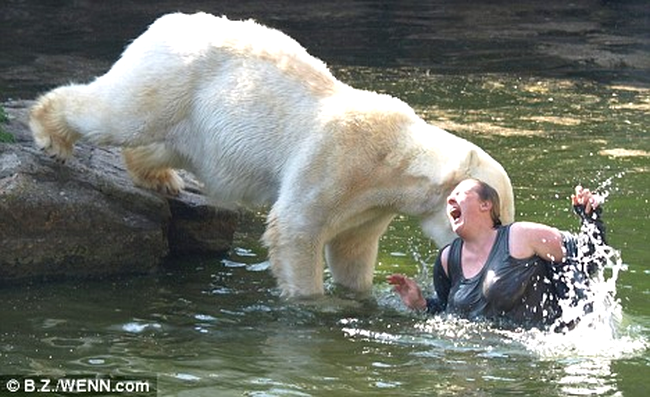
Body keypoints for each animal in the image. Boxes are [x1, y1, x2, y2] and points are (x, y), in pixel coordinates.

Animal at [30, 10, 512, 296]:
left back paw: (160, 177)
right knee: (120, 113)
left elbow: (352, 248)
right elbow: (297, 227)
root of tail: (164, 21)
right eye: (497, 214)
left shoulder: (371, 207)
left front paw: (357, 296)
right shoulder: (337, 160)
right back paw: (50, 134)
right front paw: (311, 302)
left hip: (195, 119)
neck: (394, 160)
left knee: (165, 144)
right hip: (174, 77)